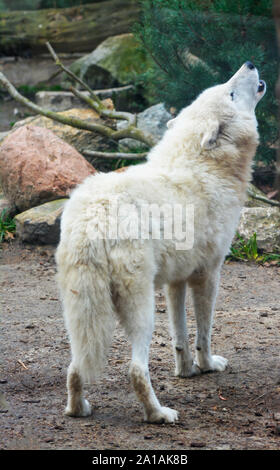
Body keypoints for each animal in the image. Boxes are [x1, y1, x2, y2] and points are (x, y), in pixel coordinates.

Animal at [55, 60, 266, 424]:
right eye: (230, 92)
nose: (250, 63)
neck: (204, 165)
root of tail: (94, 216)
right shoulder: (208, 275)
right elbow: (204, 333)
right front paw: (207, 366)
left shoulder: (176, 281)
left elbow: (180, 335)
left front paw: (186, 371)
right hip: (140, 308)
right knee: (136, 370)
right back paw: (159, 414)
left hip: (80, 313)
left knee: (75, 367)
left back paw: (78, 409)